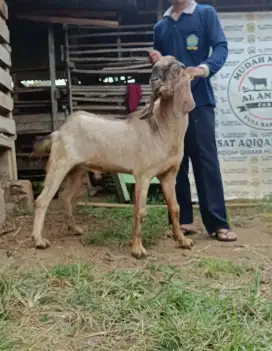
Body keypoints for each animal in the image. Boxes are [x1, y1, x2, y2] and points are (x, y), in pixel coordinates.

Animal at [31, 55, 196, 258]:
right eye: (154, 68)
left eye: (175, 69)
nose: (154, 81)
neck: (162, 129)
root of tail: (59, 132)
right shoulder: (143, 175)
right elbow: (140, 210)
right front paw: (137, 249)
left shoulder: (169, 175)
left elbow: (175, 207)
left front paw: (183, 240)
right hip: (59, 164)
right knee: (43, 199)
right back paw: (39, 240)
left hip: (77, 170)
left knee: (65, 197)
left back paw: (75, 229)